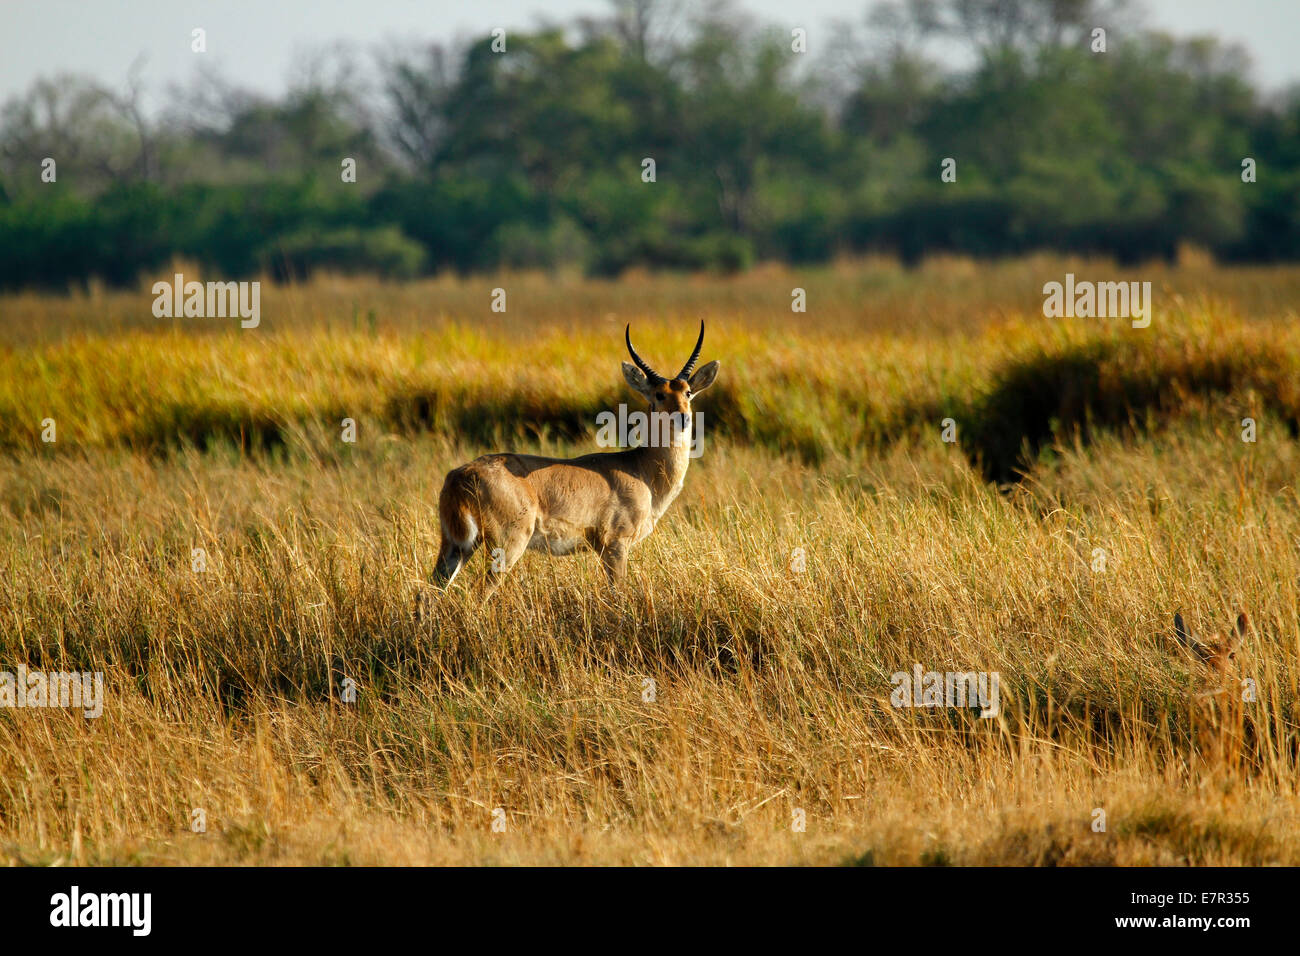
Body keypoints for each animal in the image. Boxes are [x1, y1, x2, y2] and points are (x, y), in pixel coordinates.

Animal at [430, 322, 720, 591]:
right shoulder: (615, 546)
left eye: (688, 392)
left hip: (456, 547)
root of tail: (460, 475)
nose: (682, 417)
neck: (640, 471)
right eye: (658, 395)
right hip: (506, 546)